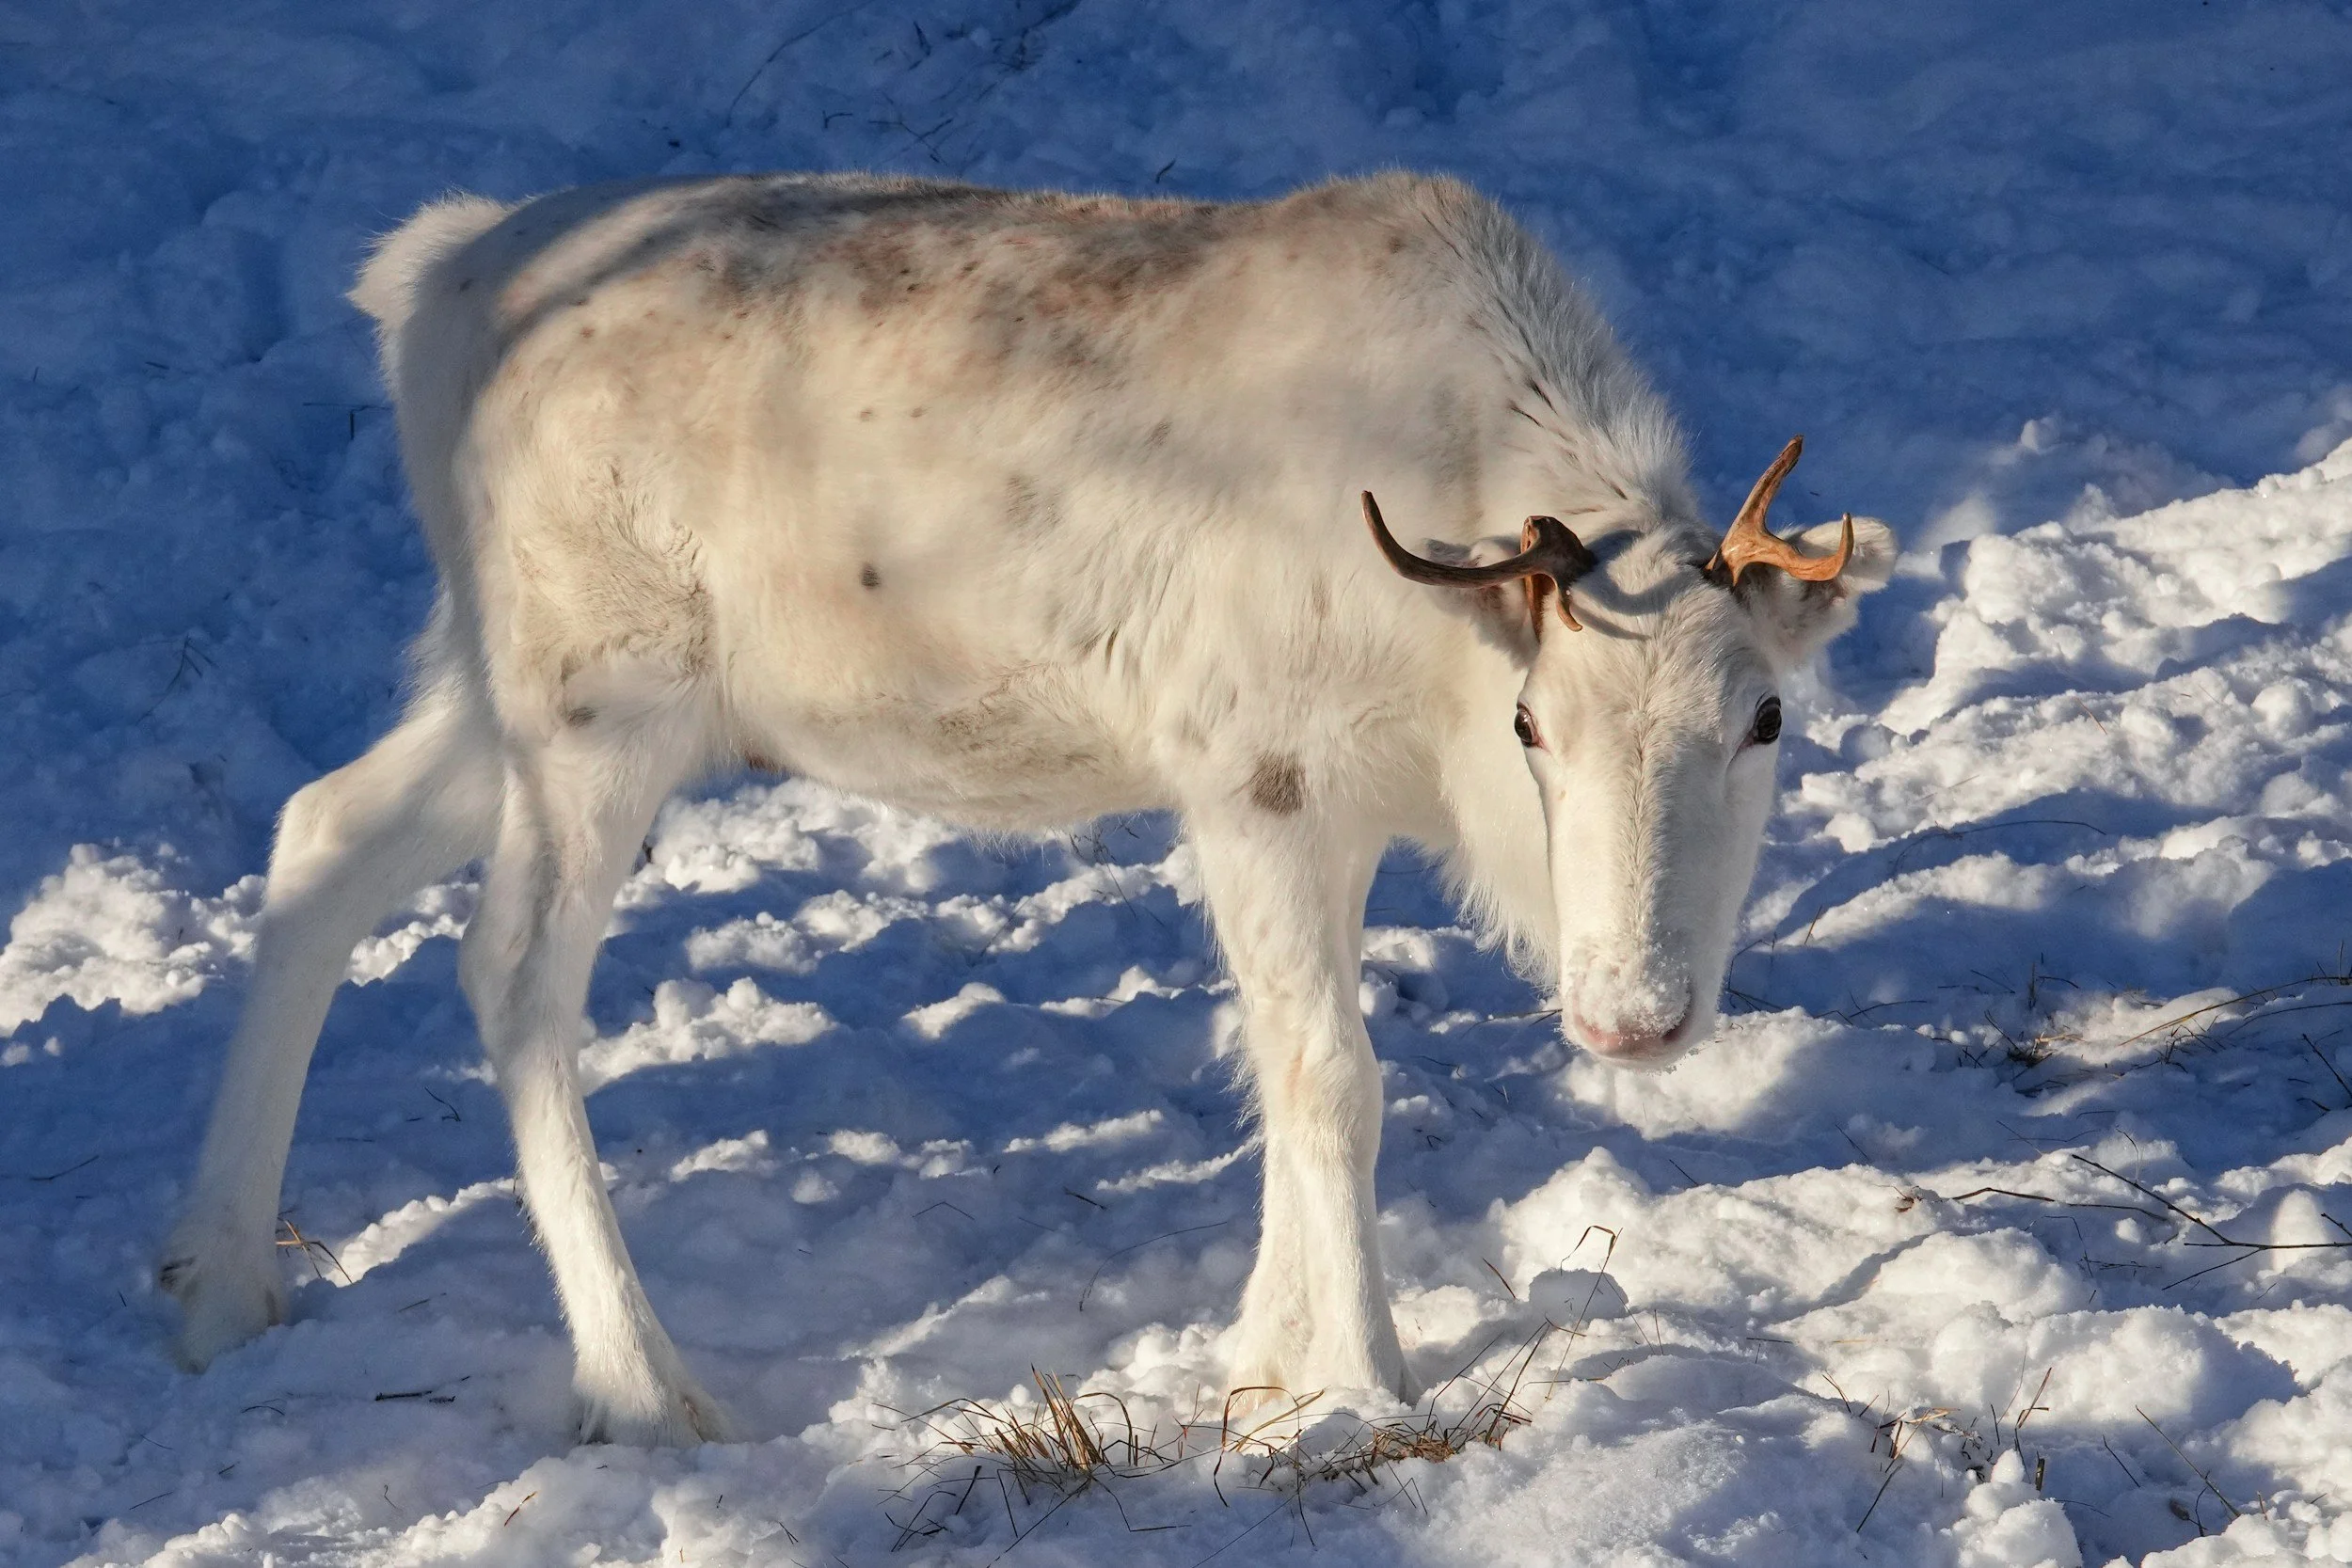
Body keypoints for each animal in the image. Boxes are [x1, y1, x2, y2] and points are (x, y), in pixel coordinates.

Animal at [158, 170, 1895, 1445]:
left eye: (1766, 715)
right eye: (1538, 721)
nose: (1634, 1016)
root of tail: (430, 286)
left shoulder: (1307, 807)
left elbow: (1279, 1070)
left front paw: (1258, 1356)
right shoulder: (1257, 776)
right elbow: (1332, 1079)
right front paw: (1362, 1379)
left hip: (492, 687)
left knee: (322, 831)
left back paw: (216, 1280)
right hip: (597, 700)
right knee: (513, 976)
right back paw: (643, 1382)